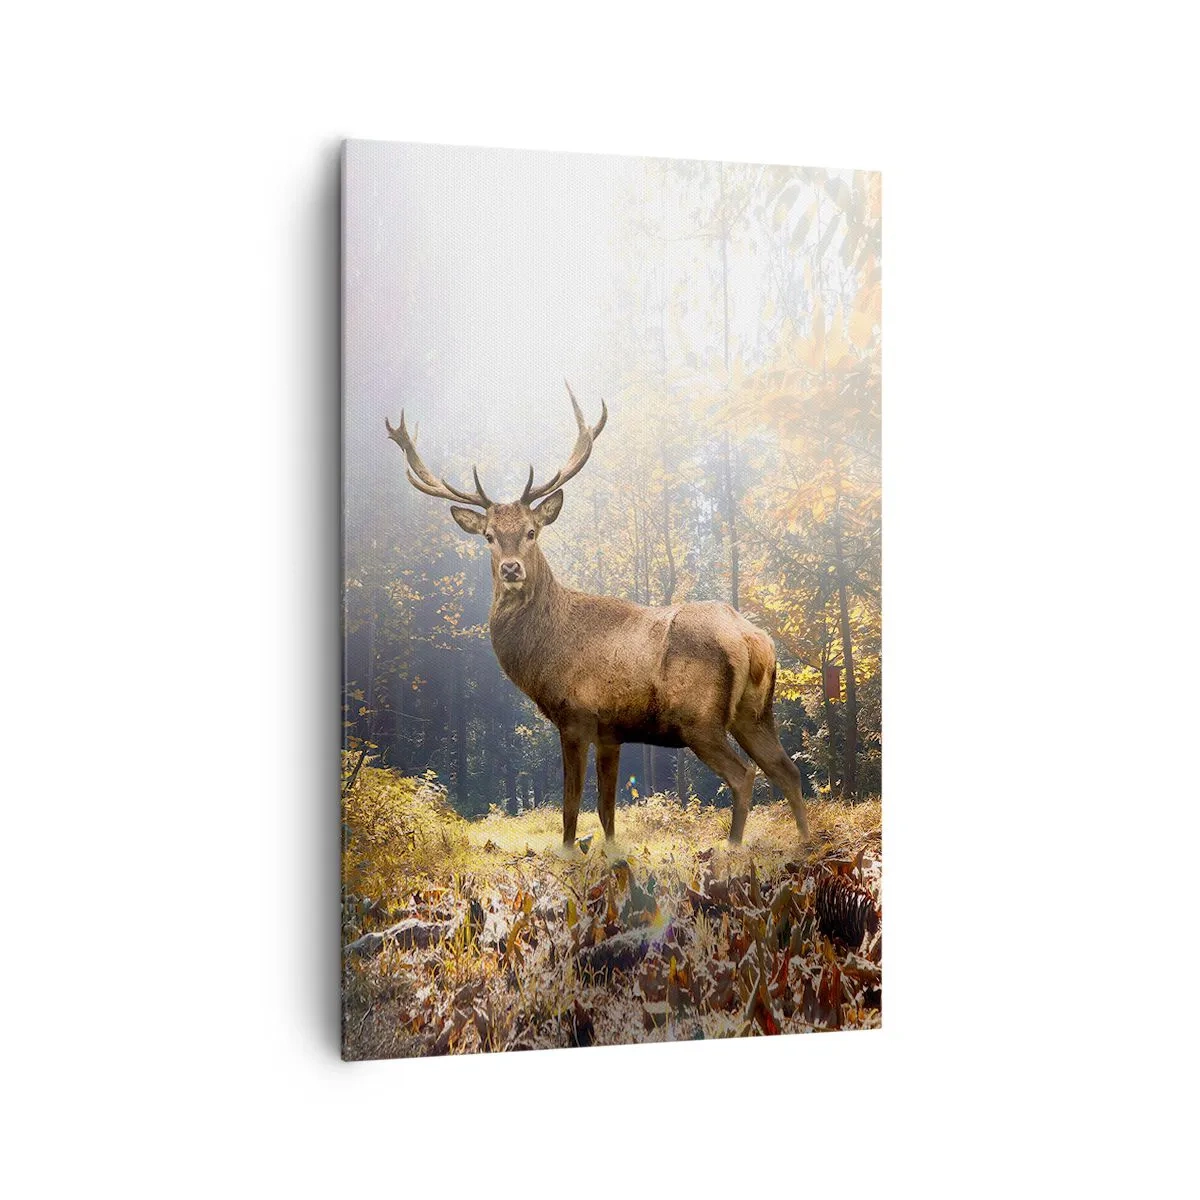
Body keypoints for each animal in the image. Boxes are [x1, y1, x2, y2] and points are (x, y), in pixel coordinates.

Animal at [385, 384, 809, 849]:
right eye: (489, 536)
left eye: (532, 532)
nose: (511, 569)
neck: (543, 654)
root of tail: (753, 639)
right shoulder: (612, 731)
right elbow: (607, 810)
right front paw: (610, 854)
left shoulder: (575, 716)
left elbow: (571, 807)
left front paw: (570, 853)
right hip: (755, 713)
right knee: (788, 769)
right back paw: (806, 841)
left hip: (699, 718)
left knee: (744, 775)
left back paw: (732, 848)